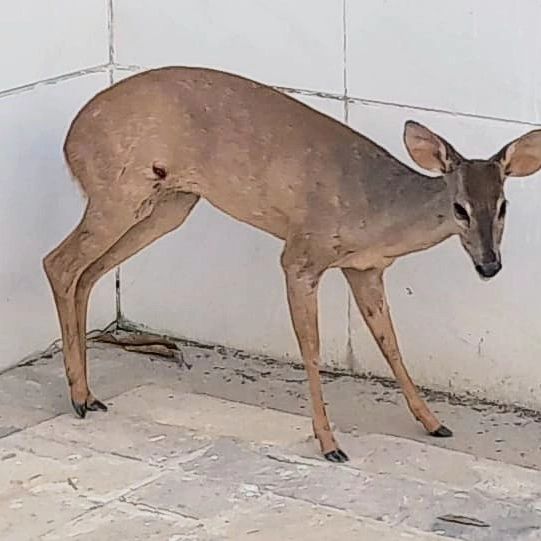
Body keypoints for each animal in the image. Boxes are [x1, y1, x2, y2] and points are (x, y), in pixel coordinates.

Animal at [43, 66, 540, 460]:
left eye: (503, 206)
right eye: (460, 208)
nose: (490, 265)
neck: (377, 212)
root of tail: (69, 142)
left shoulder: (365, 268)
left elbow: (390, 343)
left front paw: (434, 422)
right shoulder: (301, 253)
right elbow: (312, 347)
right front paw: (330, 443)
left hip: (170, 203)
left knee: (87, 273)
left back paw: (89, 394)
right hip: (119, 191)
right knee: (59, 262)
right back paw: (79, 397)